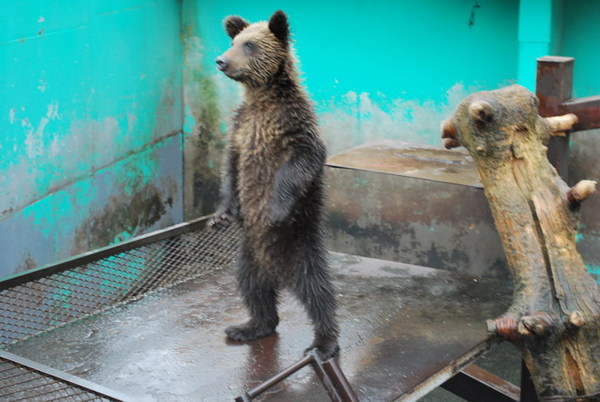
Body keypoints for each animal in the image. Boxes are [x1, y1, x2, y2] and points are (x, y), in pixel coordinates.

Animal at [210, 11, 342, 360]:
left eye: (250, 45)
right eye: (234, 41)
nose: (221, 60)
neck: (263, 98)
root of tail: (279, 275)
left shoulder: (295, 127)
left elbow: (300, 165)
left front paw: (276, 209)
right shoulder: (241, 127)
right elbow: (230, 168)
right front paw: (219, 215)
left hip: (302, 249)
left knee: (320, 294)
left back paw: (324, 343)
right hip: (249, 257)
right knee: (253, 289)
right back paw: (248, 326)